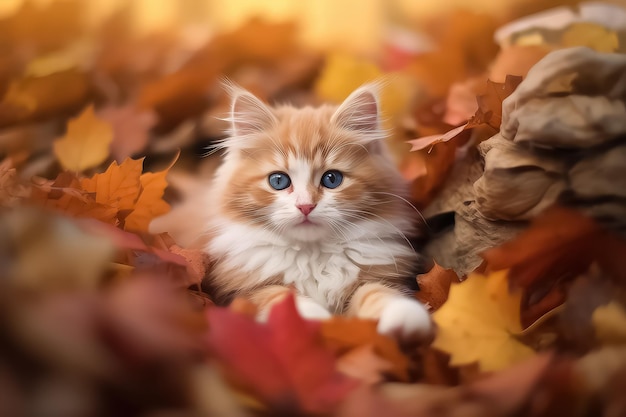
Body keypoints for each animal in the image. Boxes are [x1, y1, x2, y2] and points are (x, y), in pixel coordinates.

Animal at [202, 82, 432, 342]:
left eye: (332, 179)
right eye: (278, 181)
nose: (305, 206)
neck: (312, 255)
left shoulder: (373, 275)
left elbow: (376, 292)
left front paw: (404, 315)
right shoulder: (243, 291)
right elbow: (279, 297)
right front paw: (308, 323)